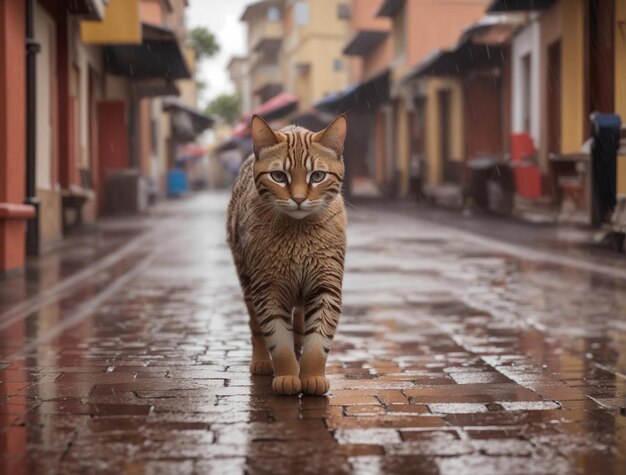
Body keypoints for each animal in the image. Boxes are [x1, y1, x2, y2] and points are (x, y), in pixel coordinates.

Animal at [228, 115, 348, 398]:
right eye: (279, 176)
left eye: (317, 175)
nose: (299, 199)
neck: (298, 234)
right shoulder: (267, 290)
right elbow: (277, 340)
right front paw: (287, 375)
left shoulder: (325, 286)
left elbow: (317, 341)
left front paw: (312, 375)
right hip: (248, 283)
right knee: (256, 329)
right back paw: (262, 361)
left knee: (300, 328)